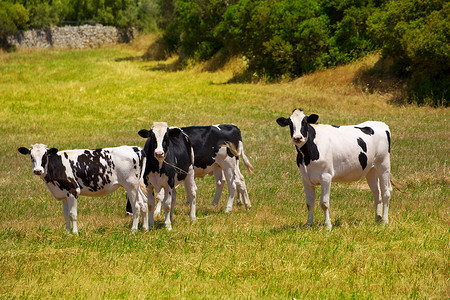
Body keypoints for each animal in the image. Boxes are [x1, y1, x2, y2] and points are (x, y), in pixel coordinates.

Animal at [17, 144, 147, 233]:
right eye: (31, 156)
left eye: (45, 156)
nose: (37, 170)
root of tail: (135, 148)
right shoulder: (63, 195)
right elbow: (66, 214)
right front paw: (67, 231)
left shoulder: (73, 191)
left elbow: (72, 214)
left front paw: (75, 232)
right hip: (136, 187)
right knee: (144, 203)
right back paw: (145, 228)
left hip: (130, 186)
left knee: (136, 206)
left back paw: (133, 230)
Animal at [125, 124, 253, 216]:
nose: (128, 212)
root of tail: (232, 126)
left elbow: (160, 195)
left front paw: (157, 212)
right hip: (220, 165)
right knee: (228, 182)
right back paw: (239, 204)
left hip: (228, 165)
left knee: (233, 184)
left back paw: (228, 208)